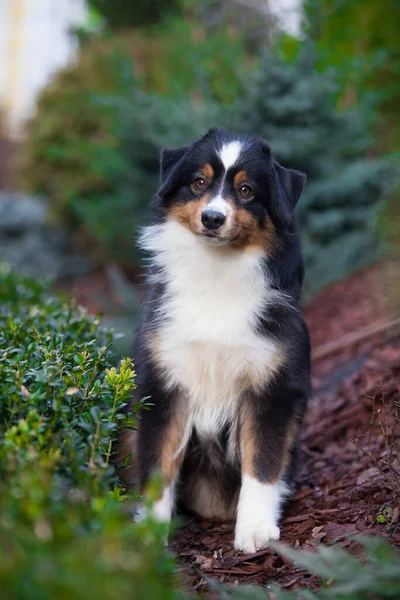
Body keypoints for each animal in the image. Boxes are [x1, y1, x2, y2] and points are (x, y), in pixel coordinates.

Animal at [126, 127, 310, 552]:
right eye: (198, 182)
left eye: (246, 190)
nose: (212, 218)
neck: (217, 270)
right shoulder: (164, 385)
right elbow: (157, 463)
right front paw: (148, 535)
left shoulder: (271, 389)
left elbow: (262, 461)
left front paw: (255, 529)